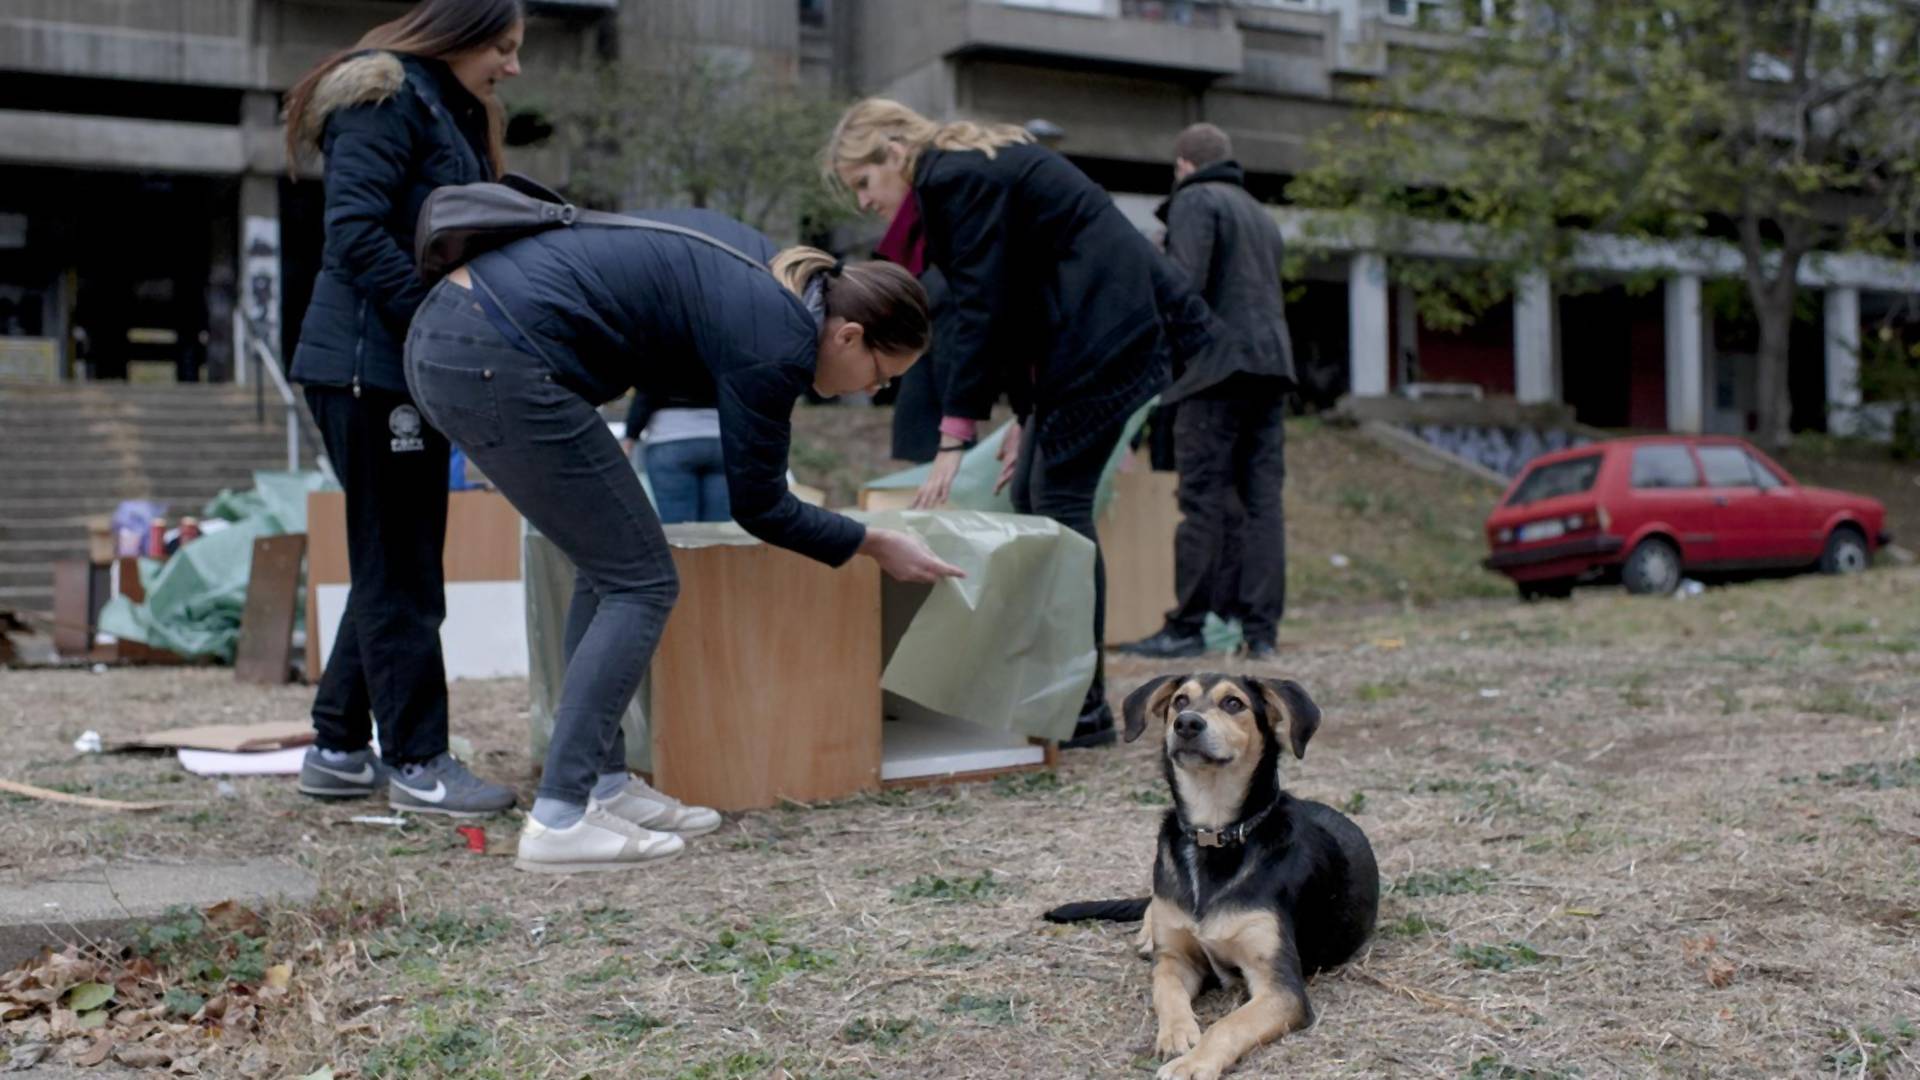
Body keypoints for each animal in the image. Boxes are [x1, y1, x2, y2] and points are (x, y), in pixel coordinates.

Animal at [1052, 668, 1382, 1068]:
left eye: (1233, 703)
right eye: (1180, 700)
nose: (1186, 723)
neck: (1214, 835)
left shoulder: (1280, 987)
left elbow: (1229, 1025)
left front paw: (1191, 1066)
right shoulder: (1176, 958)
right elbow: (1165, 989)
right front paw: (1176, 1033)